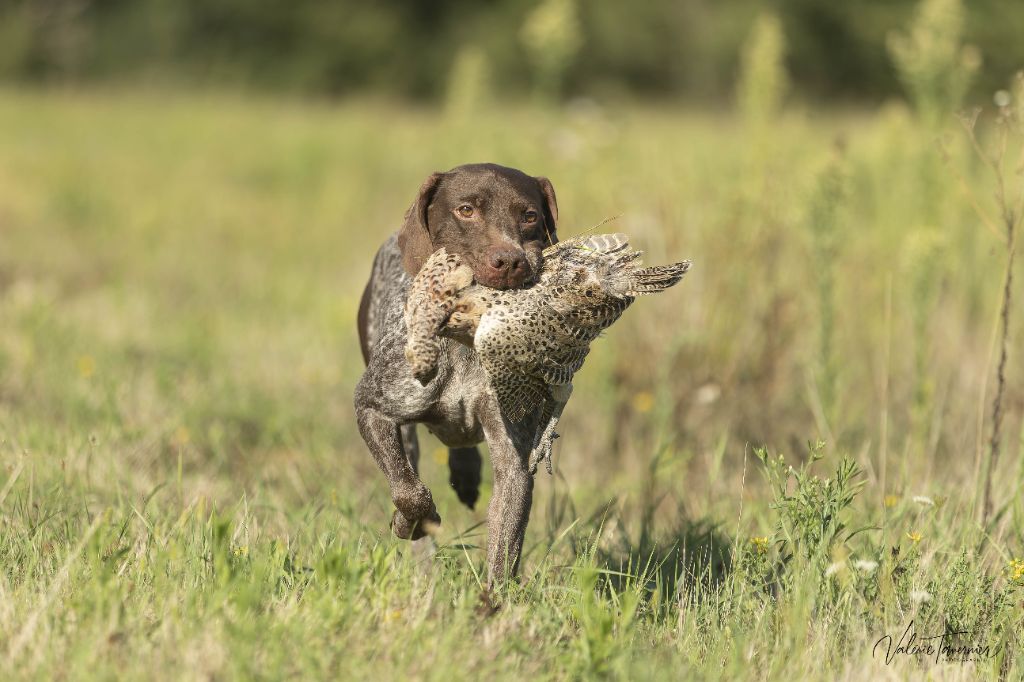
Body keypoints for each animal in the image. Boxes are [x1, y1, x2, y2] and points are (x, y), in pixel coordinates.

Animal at [354, 161, 561, 581]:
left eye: (530, 216)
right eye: (466, 210)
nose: (510, 261)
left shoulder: (514, 460)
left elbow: (504, 546)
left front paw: (494, 598)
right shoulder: (372, 406)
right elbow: (408, 491)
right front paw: (412, 522)